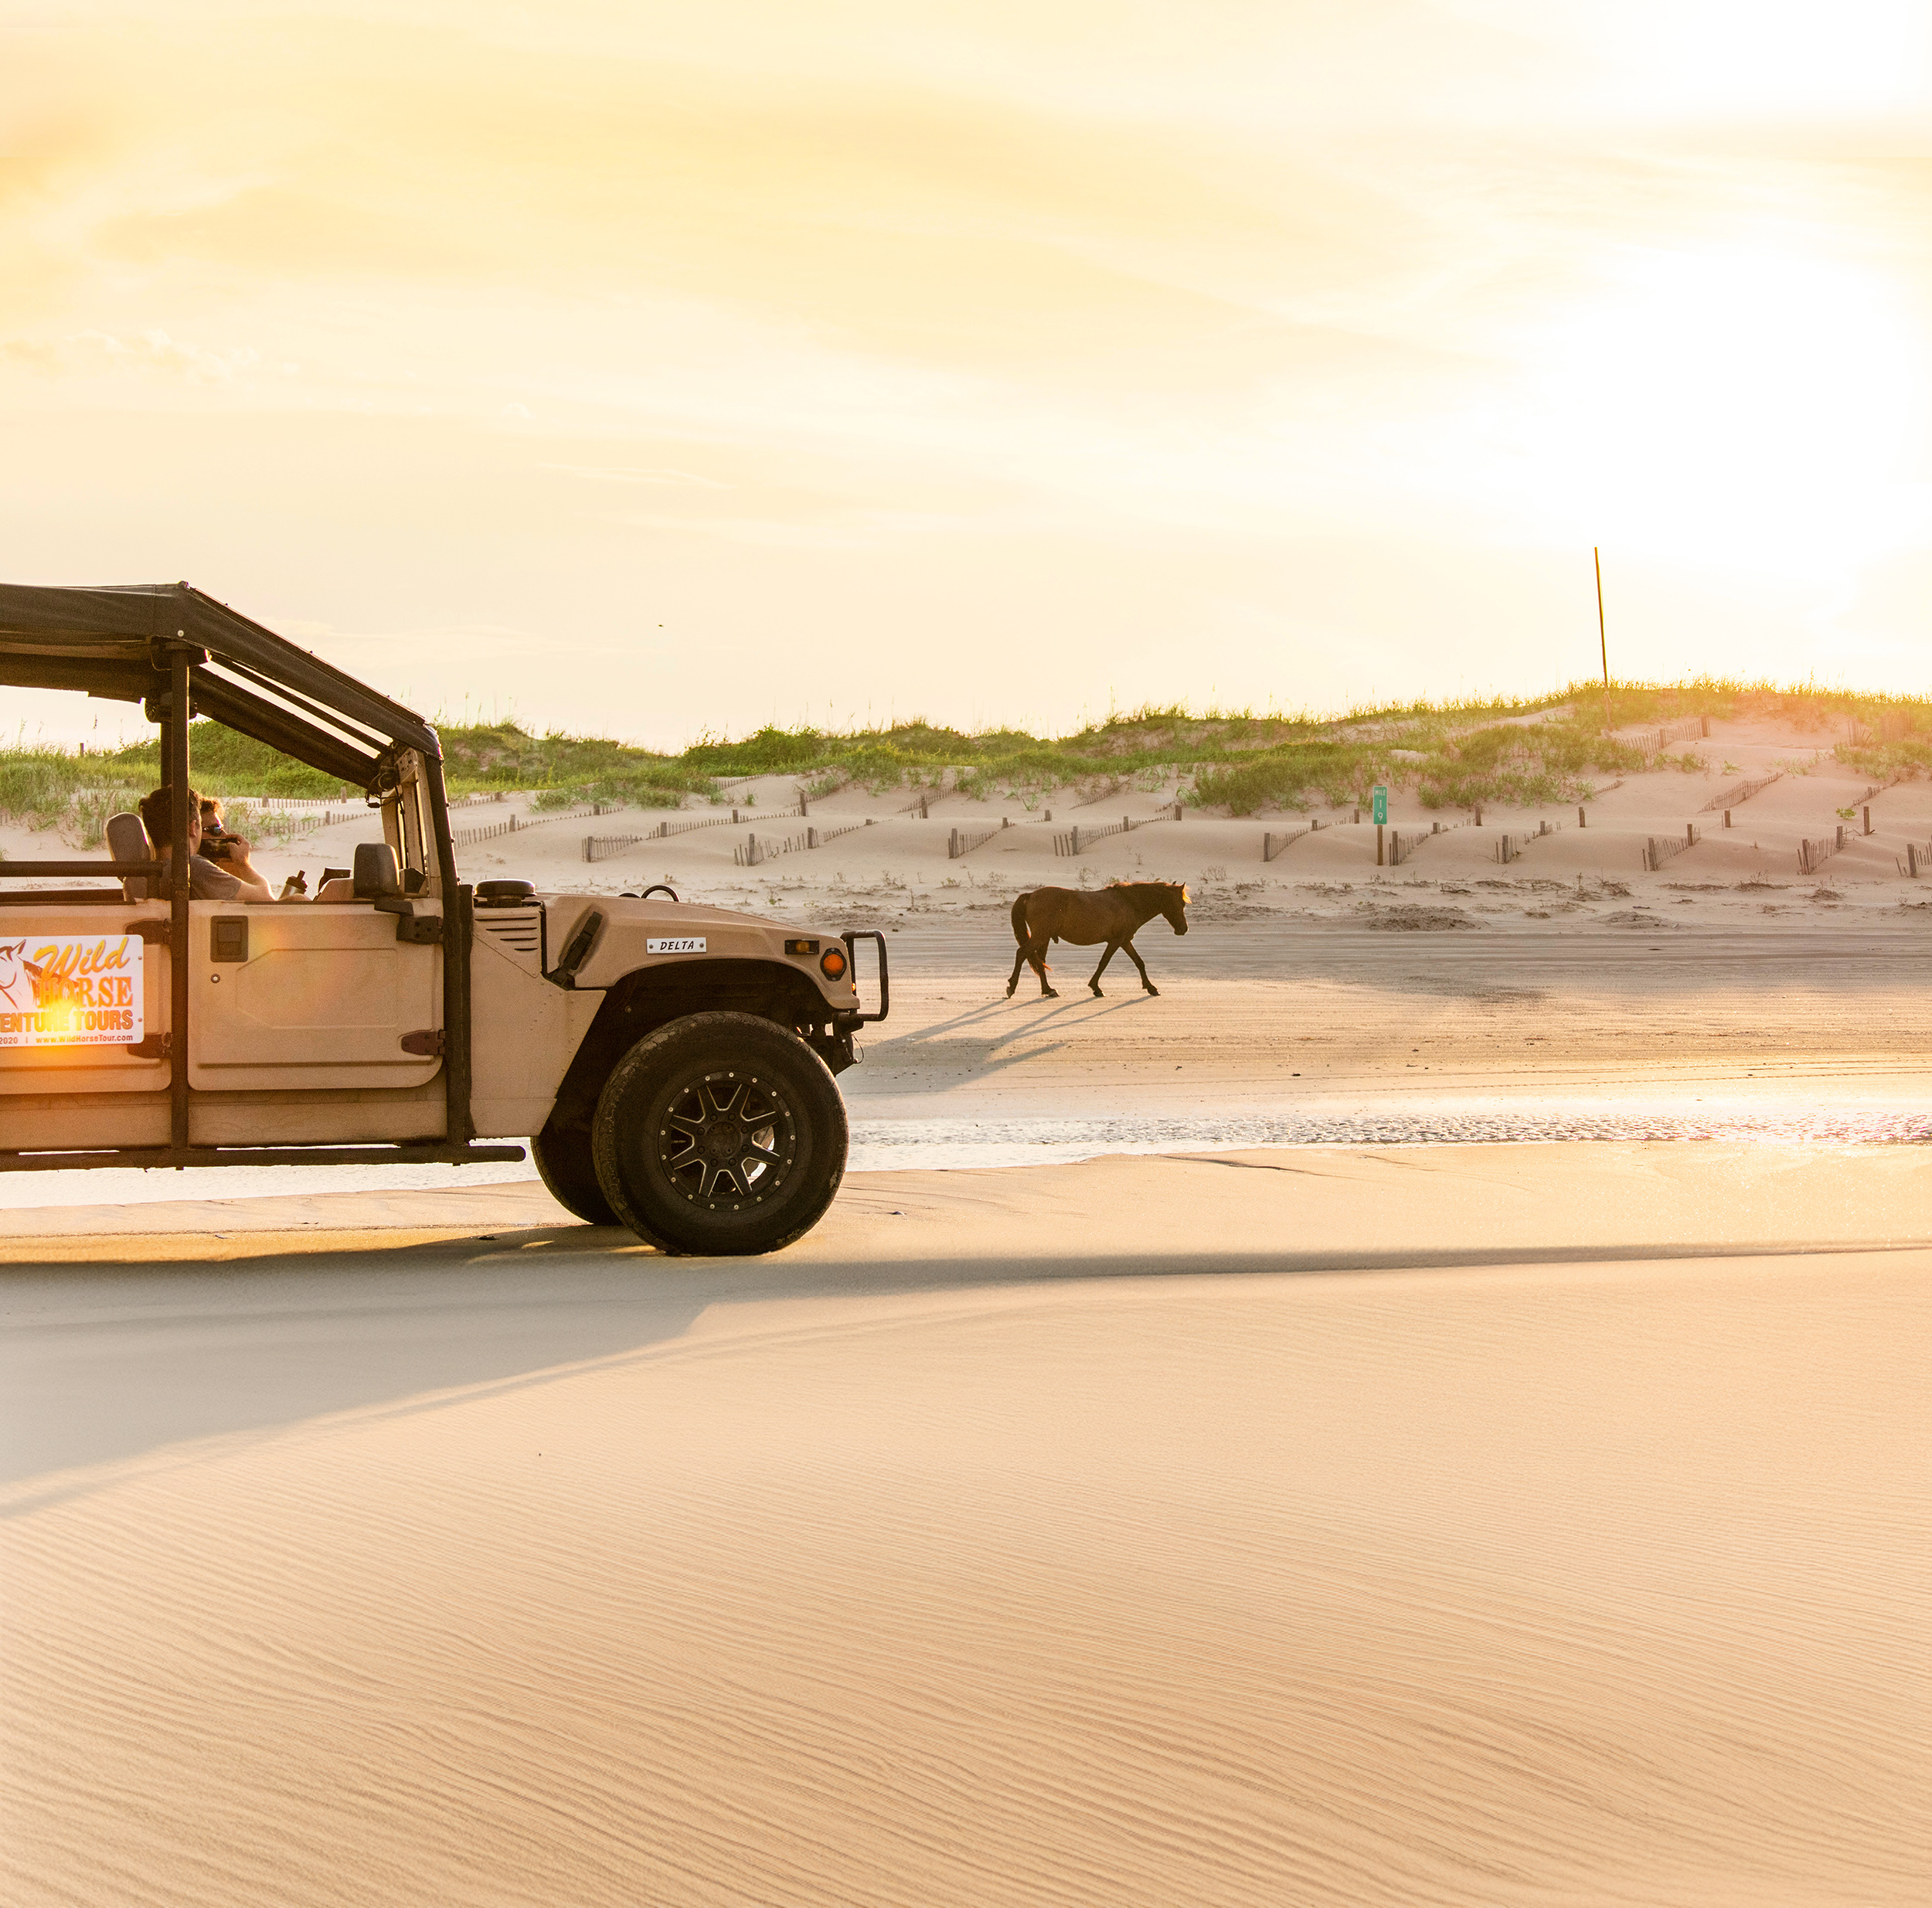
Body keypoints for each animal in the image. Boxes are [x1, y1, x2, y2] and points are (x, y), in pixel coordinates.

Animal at [1006, 881, 1190, 999]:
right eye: (1181, 904)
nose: (1184, 929)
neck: (1129, 902)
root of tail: (1031, 895)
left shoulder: (1125, 941)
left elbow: (1139, 962)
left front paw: (1150, 987)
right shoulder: (1116, 941)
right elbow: (1104, 963)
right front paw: (1096, 987)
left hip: (1044, 938)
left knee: (1040, 961)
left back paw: (1048, 990)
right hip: (1041, 936)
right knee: (1022, 953)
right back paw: (1012, 987)